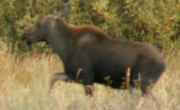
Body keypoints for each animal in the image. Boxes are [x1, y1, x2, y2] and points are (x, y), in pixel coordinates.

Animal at [21, 0, 166, 96]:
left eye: (39, 23)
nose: (24, 35)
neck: (64, 49)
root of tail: (164, 64)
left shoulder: (87, 77)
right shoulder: (74, 75)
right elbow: (53, 77)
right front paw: (48, 97)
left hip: (143, 83)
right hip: (139, 84)